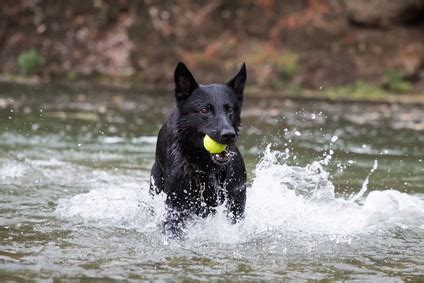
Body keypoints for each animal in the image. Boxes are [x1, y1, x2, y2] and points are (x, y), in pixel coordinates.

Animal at [150, 62, 247, 237]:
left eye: (230, 109)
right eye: (204, 110)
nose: (229, 135)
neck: (205, 169)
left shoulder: (236, 200)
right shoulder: (176, 207)